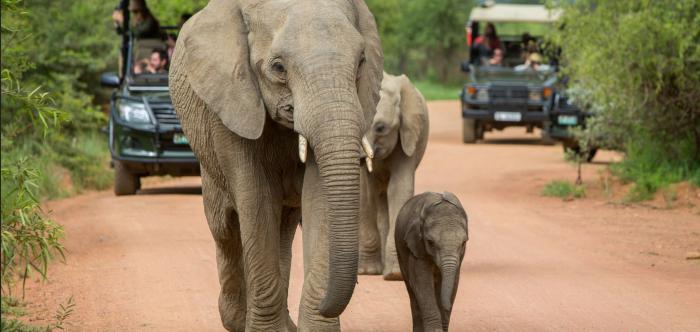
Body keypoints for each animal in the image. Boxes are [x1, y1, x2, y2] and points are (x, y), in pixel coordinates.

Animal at [167, 1, 382, 330]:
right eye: (278, 68)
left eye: (360, 62)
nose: (326, 302)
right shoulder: (232, 103)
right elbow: (256, 200)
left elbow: (319, 198)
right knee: (225, 228)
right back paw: (234, 320)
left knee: (283, 228)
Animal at [358, 72, 430, 280]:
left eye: (381, 128)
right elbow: (365, 193)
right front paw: (367, 272)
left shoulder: (408, 135)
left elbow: (398, 190)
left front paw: (395, 275)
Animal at [394, 192, 470, 332]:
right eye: (430, 242)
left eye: (463, 243)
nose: (447, 307)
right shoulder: (416, 247)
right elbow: (422, 280)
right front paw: (435, 330)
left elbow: (454, 281)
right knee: (412, 291)